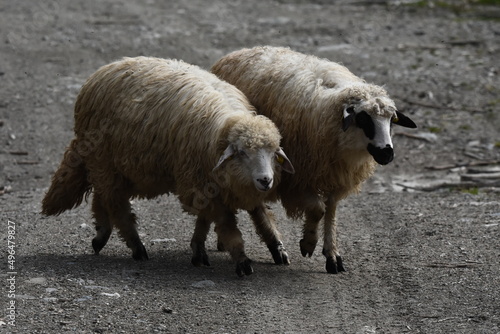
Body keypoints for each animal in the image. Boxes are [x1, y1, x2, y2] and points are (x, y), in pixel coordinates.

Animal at [43, 56, 294, 276]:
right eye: (242, 152)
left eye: (274, 153)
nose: (265, 180)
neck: (222, 129)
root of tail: (103, 71)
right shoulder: (199, 180)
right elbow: (226, 224)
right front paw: (240, 259)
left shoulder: (210, 184)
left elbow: (255, 215)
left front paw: (275, 247)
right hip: (104, 159)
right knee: (116, 204)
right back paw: (136, 246)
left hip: (119, 167)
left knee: (101, 195)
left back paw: (101, 236)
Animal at [209, 47, 416, 274]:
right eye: (363, 119)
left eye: (391, 121)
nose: (387, 153)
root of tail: (236, 53)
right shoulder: (295, 178)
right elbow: (318, 209)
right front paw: (308, 242)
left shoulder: (336, 175)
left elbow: (330, 211)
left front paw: (332, 254)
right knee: (254, 203)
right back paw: (275, 245)